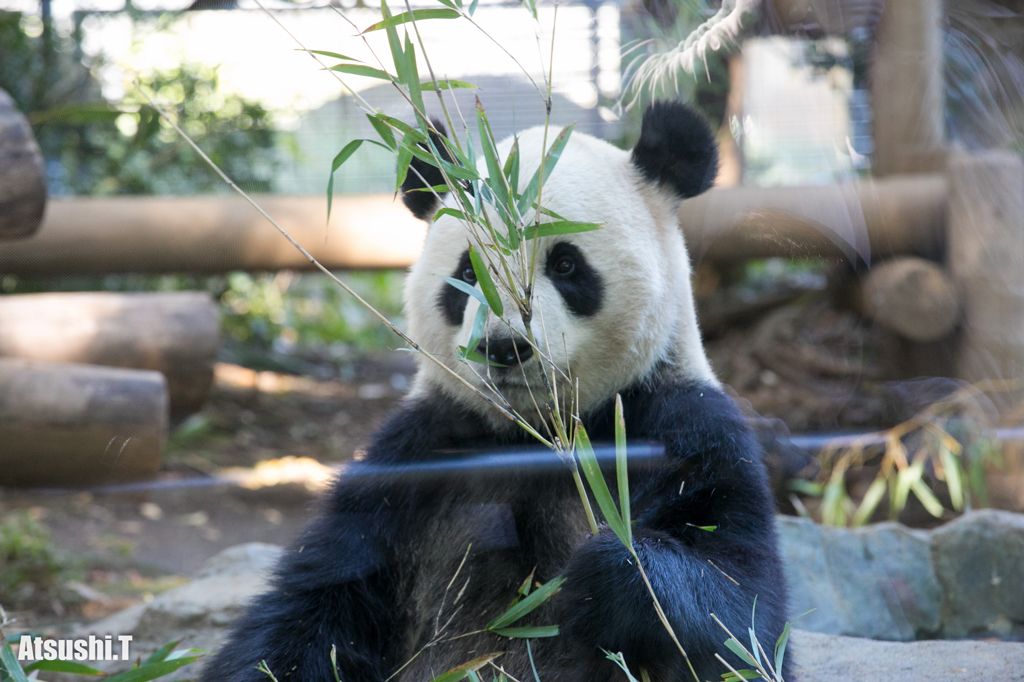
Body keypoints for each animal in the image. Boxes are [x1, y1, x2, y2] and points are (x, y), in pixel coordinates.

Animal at [201, 100, 790, 679]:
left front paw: (615, 569)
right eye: (468, 272)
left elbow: (742, 614)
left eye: (566, 264)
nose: (505, 347)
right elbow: (316, 603)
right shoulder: (419, 456)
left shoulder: (679, 426)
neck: (535, 436)